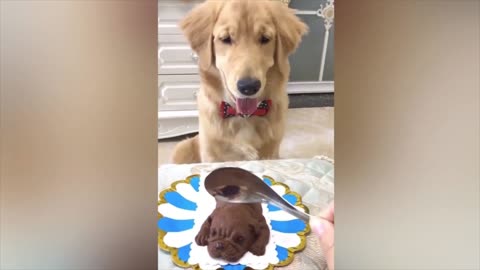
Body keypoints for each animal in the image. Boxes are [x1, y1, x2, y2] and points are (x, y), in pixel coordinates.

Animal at [172, 1, 308, 163]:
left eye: (265, 38)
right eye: (226, 39)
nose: (249, 87)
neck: (244, 117)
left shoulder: (271, 153)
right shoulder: (212, 155)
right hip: (182, 148)